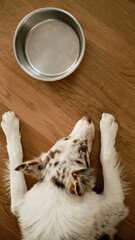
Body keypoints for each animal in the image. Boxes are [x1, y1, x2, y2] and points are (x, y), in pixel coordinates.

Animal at [1, 112, 128, 240]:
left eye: (66, 138)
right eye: (84, 148)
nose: (86, 118)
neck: (57, 191)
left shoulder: (18, 204)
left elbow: (15, 162)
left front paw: (10, 124)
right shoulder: (114, 204)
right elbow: (106, 157)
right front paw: (108, 126)